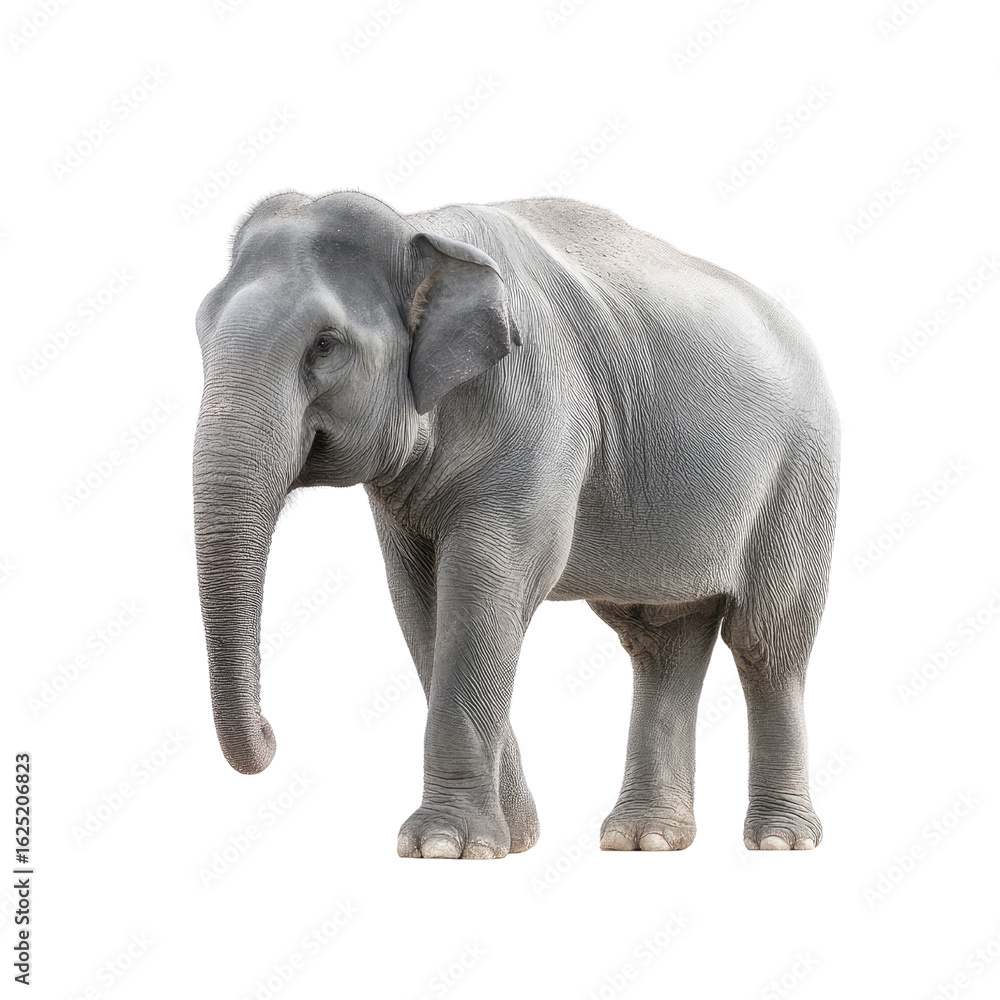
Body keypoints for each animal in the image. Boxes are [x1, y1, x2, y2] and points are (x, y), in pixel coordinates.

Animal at [193, 190, 839, 859]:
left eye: (324, 344)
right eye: (200, 334)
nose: (271, 733)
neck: (417, 229)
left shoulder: (542, 410)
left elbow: (487, 583)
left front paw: (446, 847)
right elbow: (419, 600)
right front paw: (515, 838)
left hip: (800, 474)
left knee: (766, 640)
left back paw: (779, 841)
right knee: (661, 642)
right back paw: (646, 839)